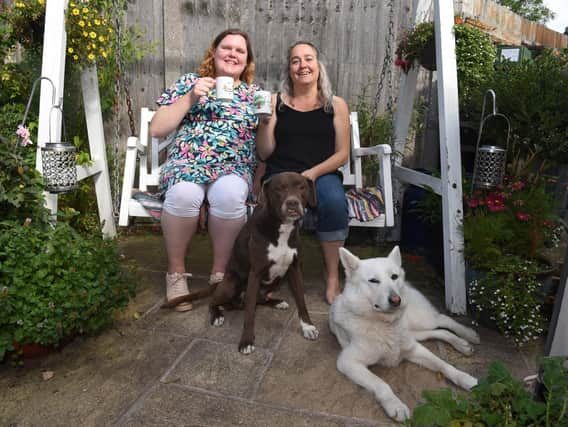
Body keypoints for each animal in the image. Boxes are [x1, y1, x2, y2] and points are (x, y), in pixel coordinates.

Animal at [211, 171, 322, 354]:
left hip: (277, 280)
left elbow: (301, 301)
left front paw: (307, 327)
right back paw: (216, 315)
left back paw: (276, 302)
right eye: (279, 188)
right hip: (231, 283)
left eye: (301, 187)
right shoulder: (255, 273)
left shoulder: (294, 269)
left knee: (259, 299)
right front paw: (246, 341)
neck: (282, 228)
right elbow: (250, 313)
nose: (292, 202)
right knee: (215, 301)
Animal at [328, 246, 480, 422]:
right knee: (439, 331)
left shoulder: (414, 349)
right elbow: (380, 383)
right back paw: (462, 344)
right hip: (416, 332)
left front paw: (463, 377)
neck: (385, 324)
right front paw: (396, 405)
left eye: (393, 277)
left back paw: (468, 334)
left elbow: (443, 364)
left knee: (443, 319)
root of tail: (408, 285)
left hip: (421, 321)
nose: (396, 300)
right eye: (373, 280)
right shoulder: (348, 362)